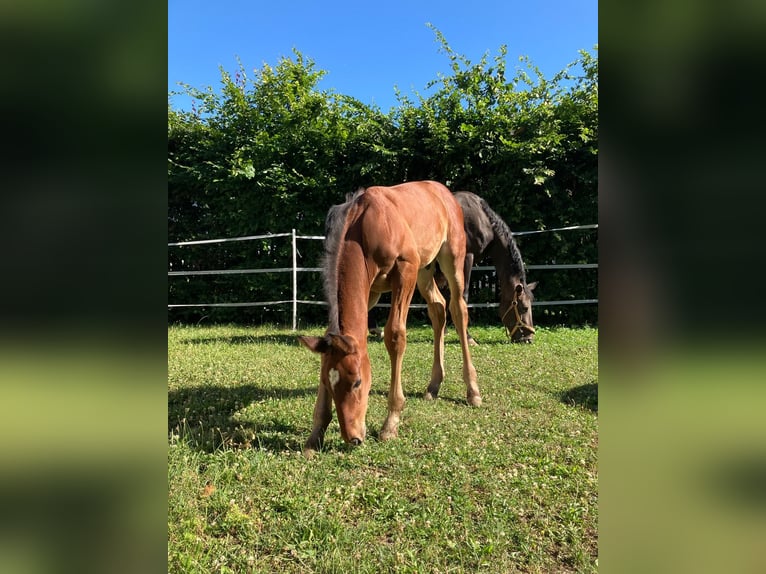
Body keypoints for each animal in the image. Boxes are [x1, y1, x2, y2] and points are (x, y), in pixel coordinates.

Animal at [298, 181, 480, 455]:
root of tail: (442, 191)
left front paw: (390, 423)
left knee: (458, 311)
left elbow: (395, 335)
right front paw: (315, 434)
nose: (353, 437)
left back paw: (472, 391)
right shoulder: (370, 291)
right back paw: (433, 385)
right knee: (438, 308)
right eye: (328, 385)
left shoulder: (405, 269)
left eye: (357, 382)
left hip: (450, 258)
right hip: (425, 269)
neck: (362, 227)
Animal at [452, 191, 537, 344]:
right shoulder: (466, 257)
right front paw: (467, 337)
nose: (528, 339)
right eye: (524, 308)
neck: (483, 219)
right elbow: (462, 295)